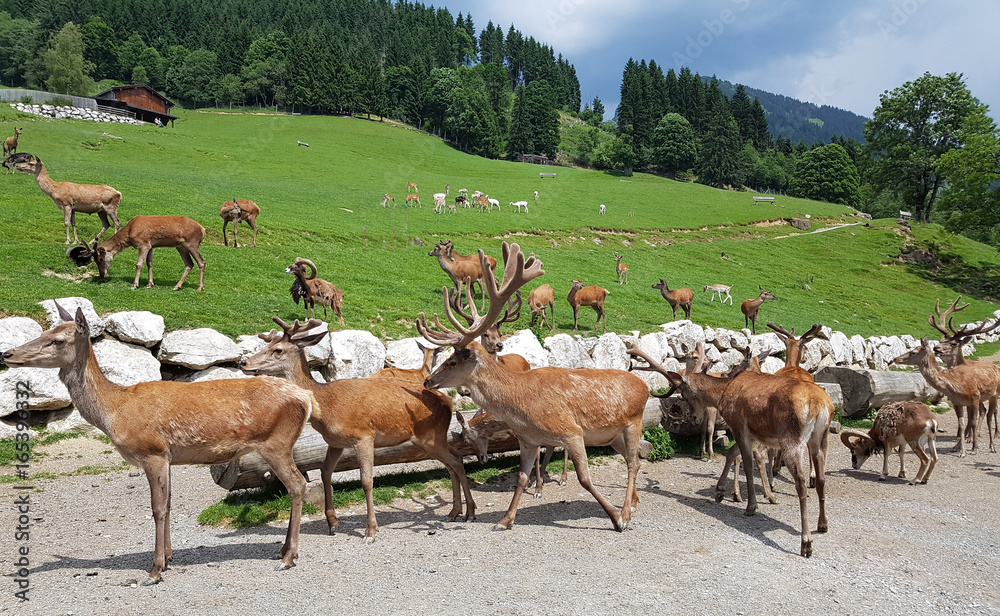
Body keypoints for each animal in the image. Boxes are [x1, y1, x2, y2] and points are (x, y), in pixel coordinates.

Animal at [2, 303, 316, 585]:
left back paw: (289, 557)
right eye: (45, 331)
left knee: (298, 484)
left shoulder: (152, 451)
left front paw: (153, 571)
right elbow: (169, 502)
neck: (114, 410)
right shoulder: (168, 457)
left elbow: (157, 508)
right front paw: (168, 559)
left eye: (57, 340)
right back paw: (282, 552)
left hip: (276, 443)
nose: (7, 353)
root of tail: (304, 398)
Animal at [70, 215, 205, 291]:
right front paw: (149, 284)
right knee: (189, 264)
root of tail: (203, 230)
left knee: (201, 262)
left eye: (101, 259)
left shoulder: (143, 244)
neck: (130, 233)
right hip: (181, 247)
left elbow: (139, 264)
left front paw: (135, 285)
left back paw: (200, 287)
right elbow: (149, 263)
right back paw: (177, 286)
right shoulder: (150, 246)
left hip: (192, 243)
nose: (102, 275)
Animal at [240, 317, 476, 543]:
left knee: (456, 459)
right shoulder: (335, 442)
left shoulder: (363, 436)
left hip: (432, 436)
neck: (325, 406)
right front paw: (332, 523)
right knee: (451, 463)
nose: (243, 362)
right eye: (266, 344)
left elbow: (366, 480)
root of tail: (448, 401)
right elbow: (326, 473)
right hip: (426, 440)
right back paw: (455, 511)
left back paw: (470, 512)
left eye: (278, 350)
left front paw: (370, 530)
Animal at [417, 242, 647, 533]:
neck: (522, 409)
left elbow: (584, 479)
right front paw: (504, 520)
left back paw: (626, 513)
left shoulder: (572, 432)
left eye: (453, 361)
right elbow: (521, 479)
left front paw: (615, 518)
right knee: (634, 460)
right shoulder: (528, 440)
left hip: (633, 424)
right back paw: (635, 504)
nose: (427, 381)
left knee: (632, 463)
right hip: (612, 436)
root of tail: (644, 385)